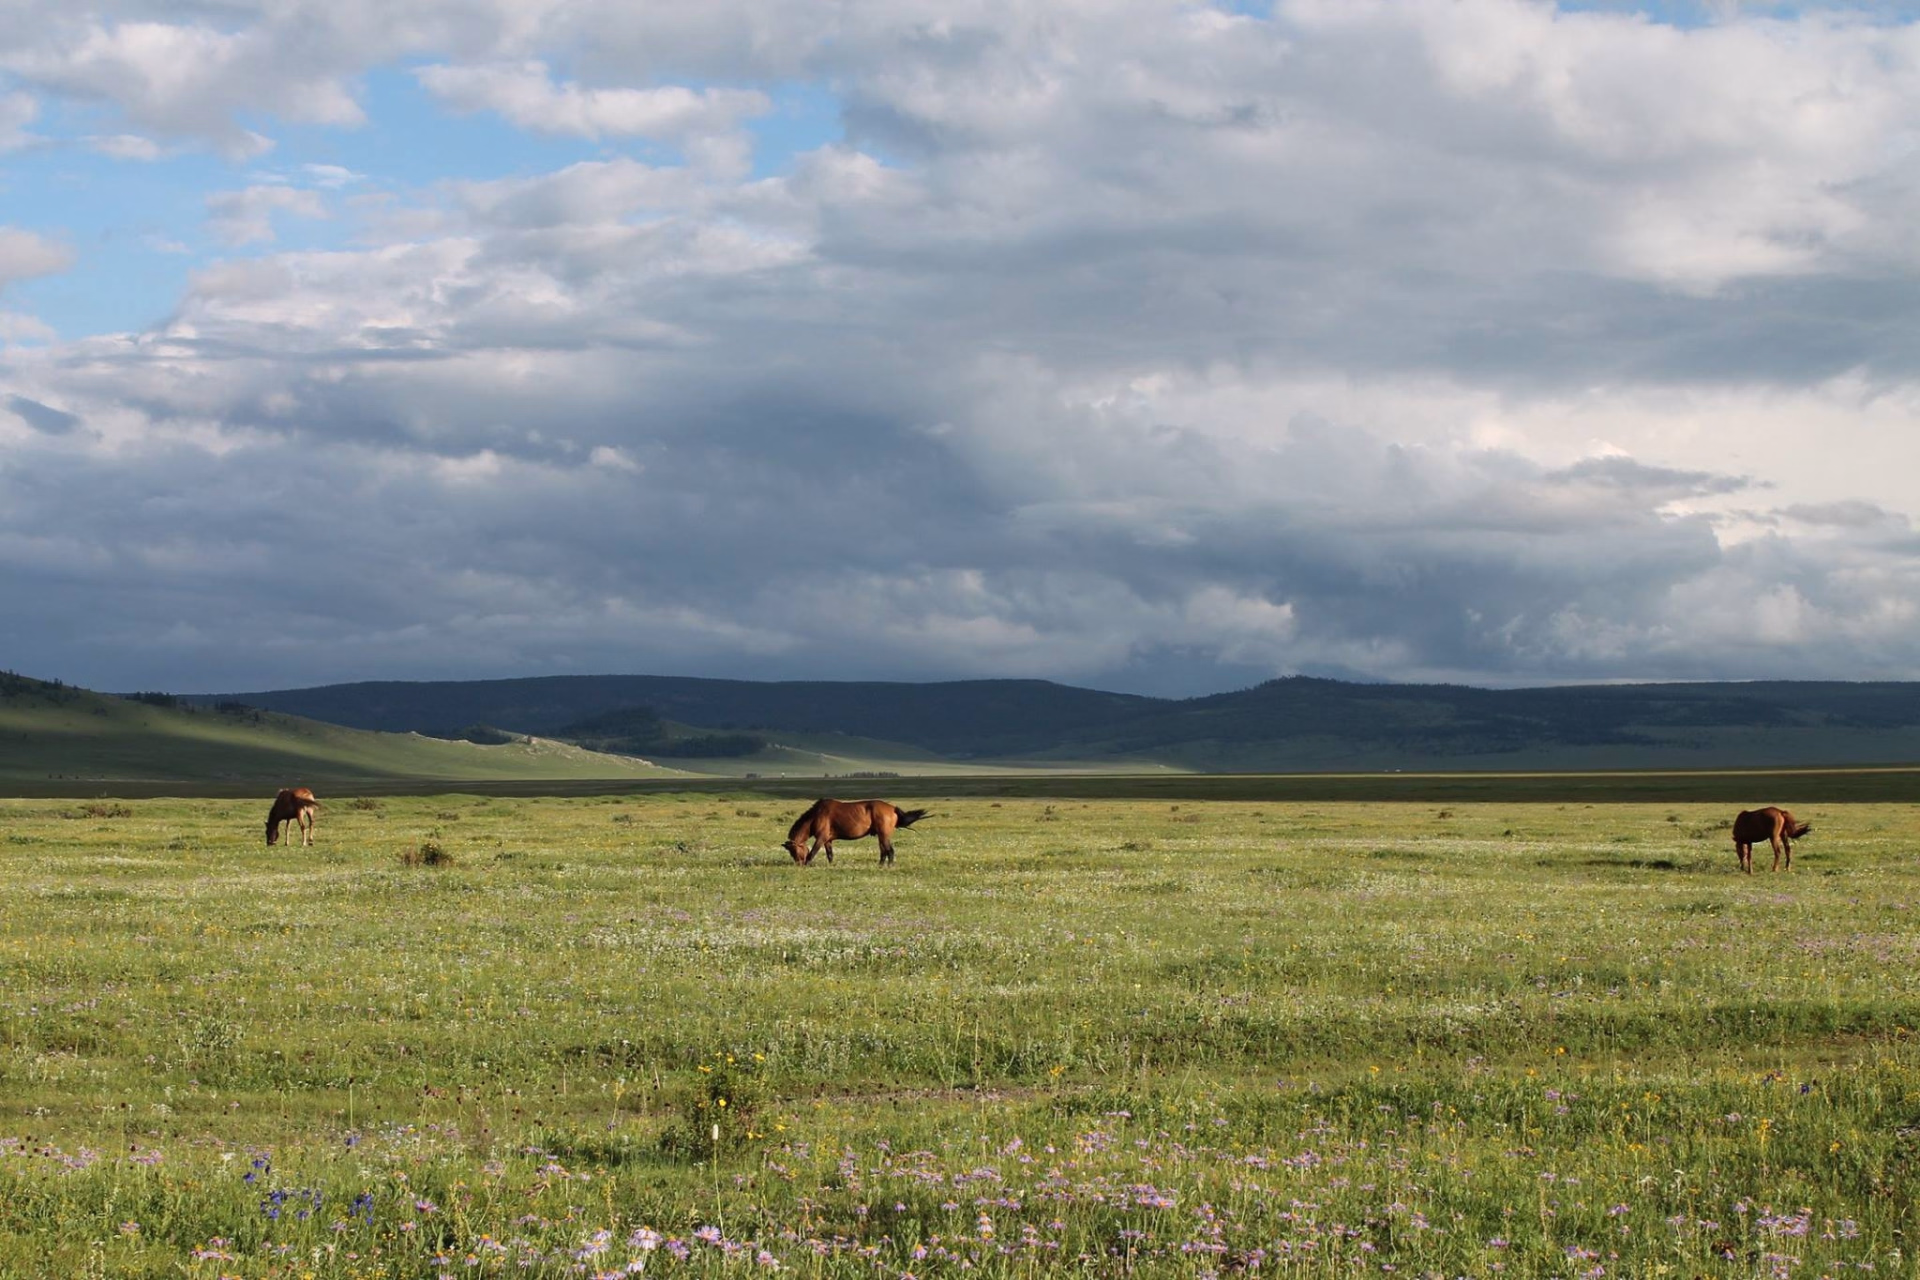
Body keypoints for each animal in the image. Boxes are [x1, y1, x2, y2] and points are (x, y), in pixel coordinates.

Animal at [782, 798, 929, 866]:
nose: (798, 864)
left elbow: (812, 853)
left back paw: (889, 866)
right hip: (881, 836)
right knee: (884, 851)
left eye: (794, 851)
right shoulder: (828, 840)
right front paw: (831, 865)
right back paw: (880, 865)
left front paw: (807, 864)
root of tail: (893, 808)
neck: (816, 816)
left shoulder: (821, 838)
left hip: (884, 835)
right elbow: (830, 855)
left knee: (890, 851)